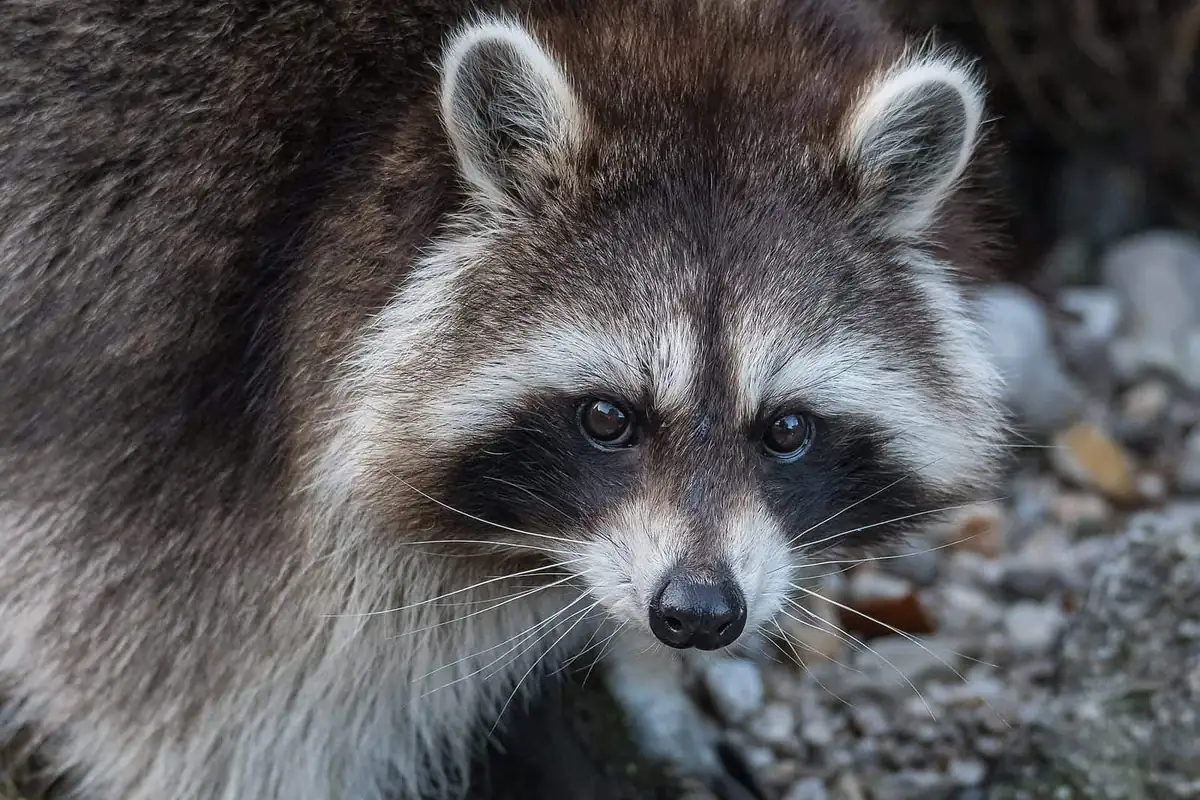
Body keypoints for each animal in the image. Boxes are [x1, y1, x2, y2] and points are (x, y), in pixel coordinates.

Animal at [0, 1, 1008, 798]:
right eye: (607, 418)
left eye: (787, 429)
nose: (696, 614)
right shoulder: (172, 390)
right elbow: (201, 708)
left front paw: (640, 679)